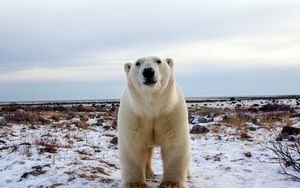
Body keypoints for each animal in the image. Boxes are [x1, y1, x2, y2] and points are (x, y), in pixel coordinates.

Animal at [117, 56, 190, 188]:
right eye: (138, 63)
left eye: (158, 61)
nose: (148, 71)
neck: (152, 109)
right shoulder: (133, 115)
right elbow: (133, 145)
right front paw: (135, 184)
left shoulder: (171, 112)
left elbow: (174, 143)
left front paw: (170, 184)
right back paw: (148, 173)